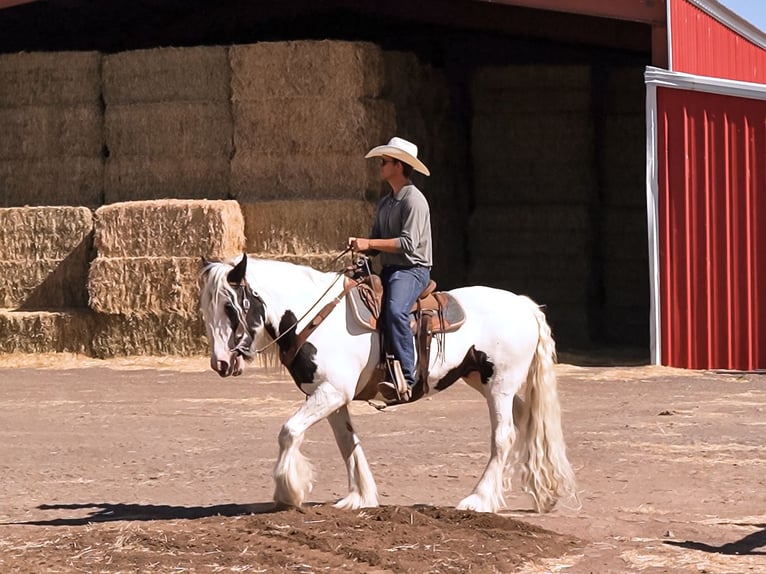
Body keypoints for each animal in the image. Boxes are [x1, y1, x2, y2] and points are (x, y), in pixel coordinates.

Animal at [199, 254, 577, 514]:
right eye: (205, 309)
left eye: (231, 308)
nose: (220, 363)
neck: (317, 316)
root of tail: (524, 305)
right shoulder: (331, 397)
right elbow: (347, 443)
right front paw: (359, 496)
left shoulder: (331, 392)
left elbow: (289, 431)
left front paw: (287, 491)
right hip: (490, 383)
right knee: (530, 424)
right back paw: (544, 492)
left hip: (499, 385)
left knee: (504, 436)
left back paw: (478, 499)